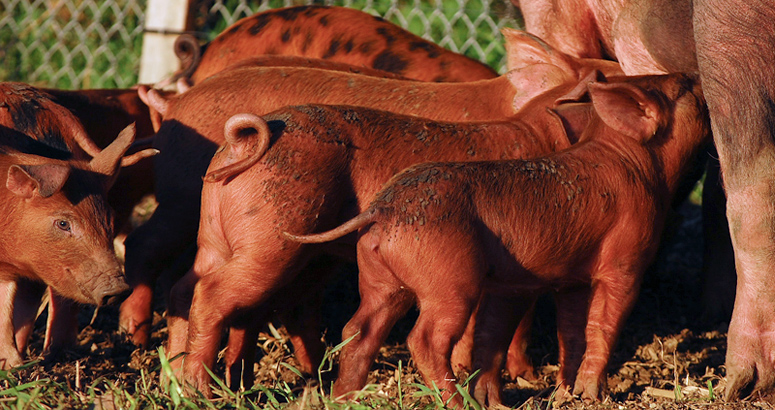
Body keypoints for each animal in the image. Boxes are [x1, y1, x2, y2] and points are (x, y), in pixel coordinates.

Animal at [284, 73, 710, 405]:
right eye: (682, 88)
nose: (696, 75)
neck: (635, 162)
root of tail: (381, 209)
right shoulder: (626, 261)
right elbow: (603, 325)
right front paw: (592, 396)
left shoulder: (571, 278)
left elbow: (571, 332)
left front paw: (566, 394)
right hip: (449, 281)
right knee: (423, 339)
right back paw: (455, 403)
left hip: (380, 276)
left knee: (357, 330)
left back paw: (344, 398)